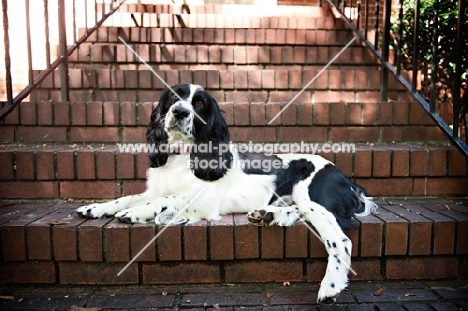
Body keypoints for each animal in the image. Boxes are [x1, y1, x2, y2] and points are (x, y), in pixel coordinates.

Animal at [76, 84, 376, 304]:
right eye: (174, 97)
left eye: (199, 104)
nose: (179, 111)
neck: (181, 155)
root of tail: (347, 180)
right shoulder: (156, 187)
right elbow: (130, 196)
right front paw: (96, 208)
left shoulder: (204, 200)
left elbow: (166, 200)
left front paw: (134, 213)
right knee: (297, 212)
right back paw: (268, 214)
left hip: (311, 193)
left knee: (340, 241)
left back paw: (331, 287)